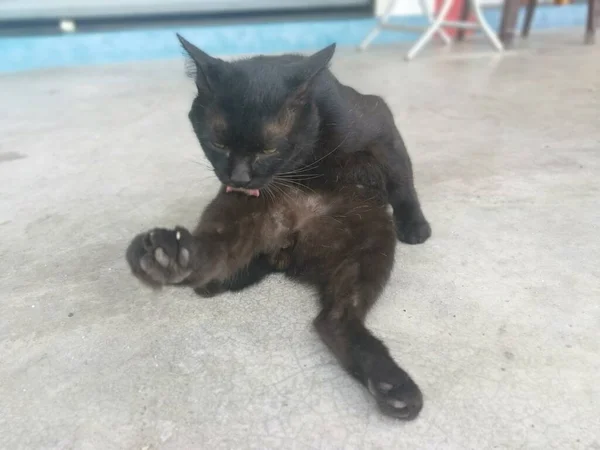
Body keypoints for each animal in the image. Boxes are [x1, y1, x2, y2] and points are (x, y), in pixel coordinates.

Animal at [127, 34, 432, 418]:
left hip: (371, 242)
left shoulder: (381, 128)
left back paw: (392, 388)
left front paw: (416, 225)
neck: (305, 161)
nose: (239, 177)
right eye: (218, 143)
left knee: (334, 318)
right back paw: (168, 257)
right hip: (237, 212)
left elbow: (402, 179)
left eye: (269, 148)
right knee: (211, 258)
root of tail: (290, 246)